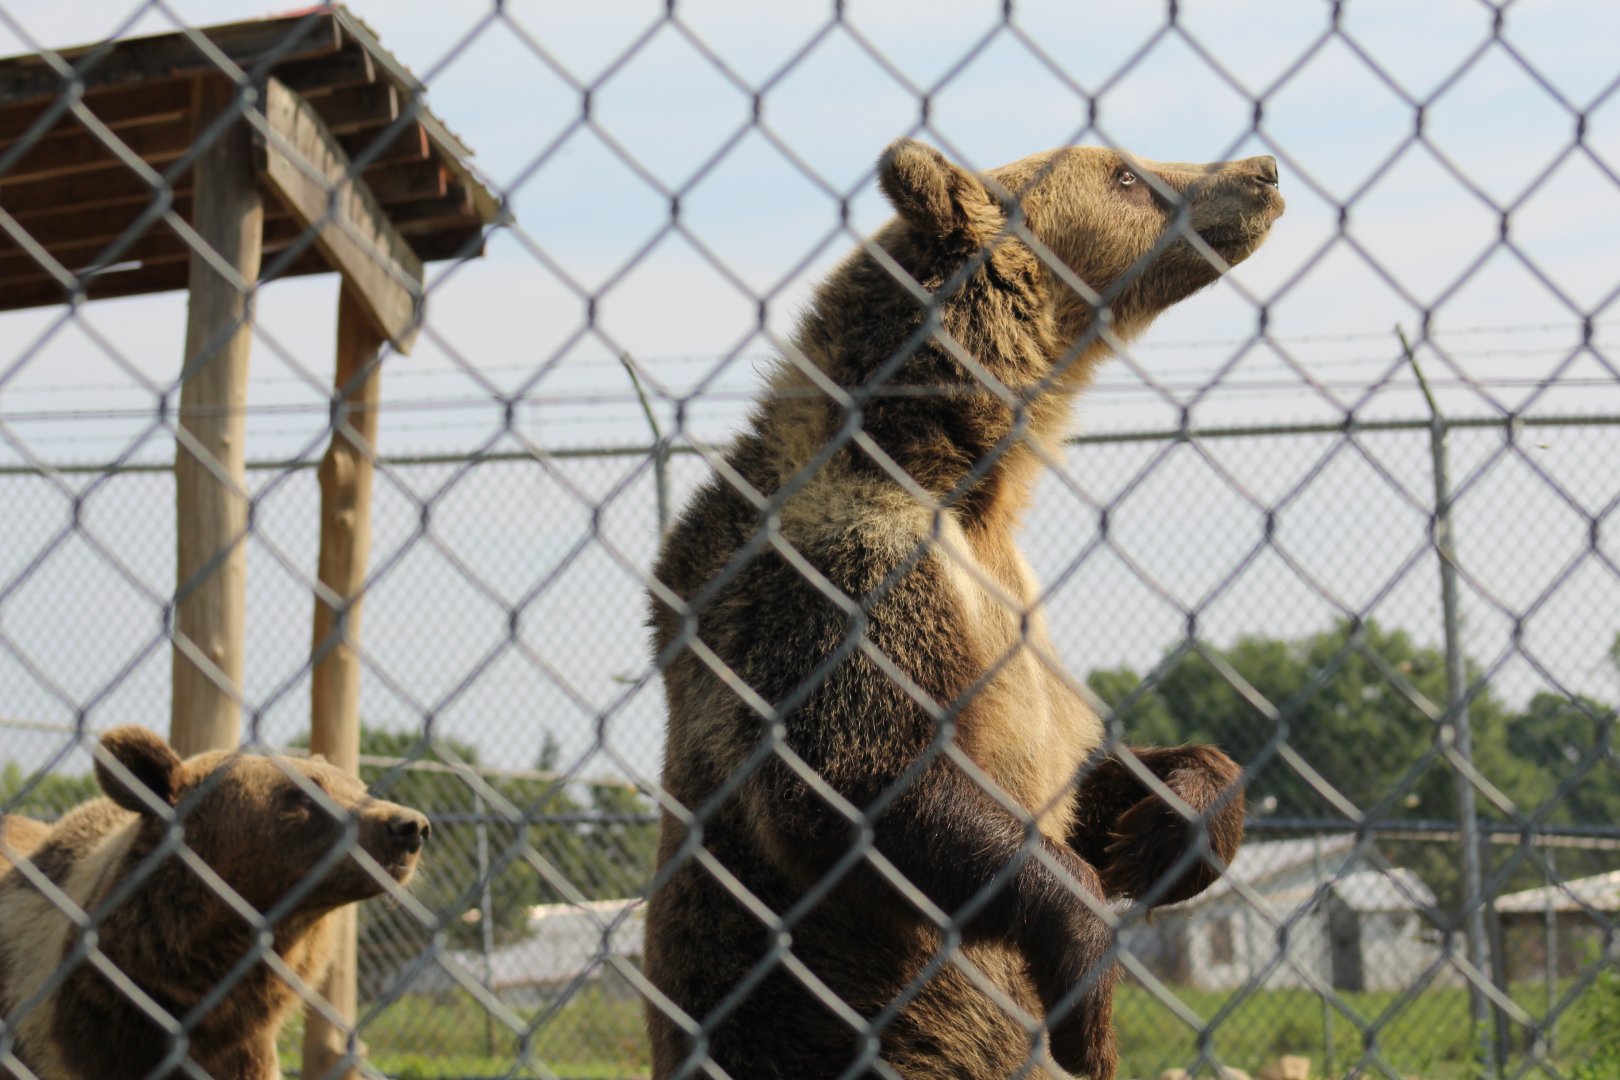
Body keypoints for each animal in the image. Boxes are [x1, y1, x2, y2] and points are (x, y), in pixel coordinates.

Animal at [643, 139, 1283, 1080]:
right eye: (1125, 173)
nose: (1260, 173)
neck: (963, 473)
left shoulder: (1018, 605)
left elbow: (1080, 771)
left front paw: (1171, 822)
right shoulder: (851, 579)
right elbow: (855, 779)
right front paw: (1090, 1007)